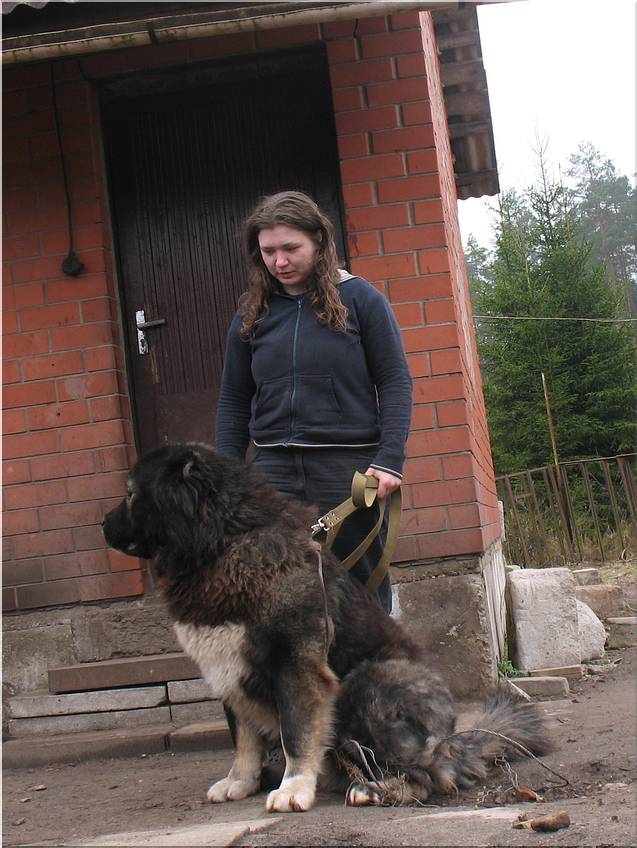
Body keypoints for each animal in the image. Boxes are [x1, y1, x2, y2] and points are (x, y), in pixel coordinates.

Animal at [103, 443, 551, 813]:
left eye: (130, 494)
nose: (103, 524)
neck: (221, 545)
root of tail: (454, 738)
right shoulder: (228, 669)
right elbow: (243, 737)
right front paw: (240, 781)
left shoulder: (297, 666)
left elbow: (297, 734)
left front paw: (293, 788)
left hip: (372, 679)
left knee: (431, 771)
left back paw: (378, 789)